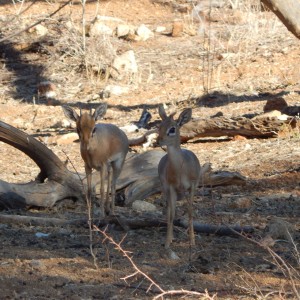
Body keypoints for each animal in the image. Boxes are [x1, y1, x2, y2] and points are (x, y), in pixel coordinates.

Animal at [157, 105, 202, 248]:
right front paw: (167, 243)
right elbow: (171, 215)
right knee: (169, 210)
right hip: (167, 190)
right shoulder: (171, 187)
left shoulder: (192, 186)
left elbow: (190, 211)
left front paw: (192, 242)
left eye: (172, 129)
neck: (180, 170)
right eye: (159, 126)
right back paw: (170, 238)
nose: (158, 141)